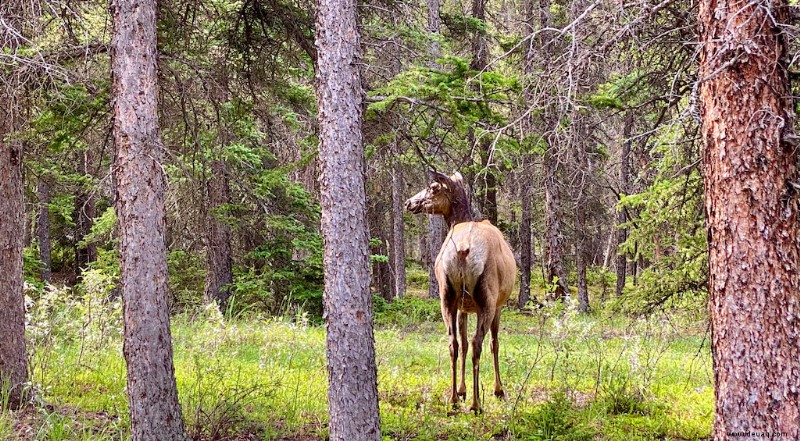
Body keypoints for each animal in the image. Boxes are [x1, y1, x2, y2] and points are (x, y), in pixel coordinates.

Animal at [404, 169, 516, 412]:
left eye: (433, 188)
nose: (409, 202)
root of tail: (463, 249)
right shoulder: (499, 304)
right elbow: (494, 344)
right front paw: (498, 390)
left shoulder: (464, 307)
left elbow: (463, 344)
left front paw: (463, 391)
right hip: (486, 299)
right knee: (477, 343)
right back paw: (476, 404)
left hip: (447, 296)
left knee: (454, 343)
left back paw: (454, 399)